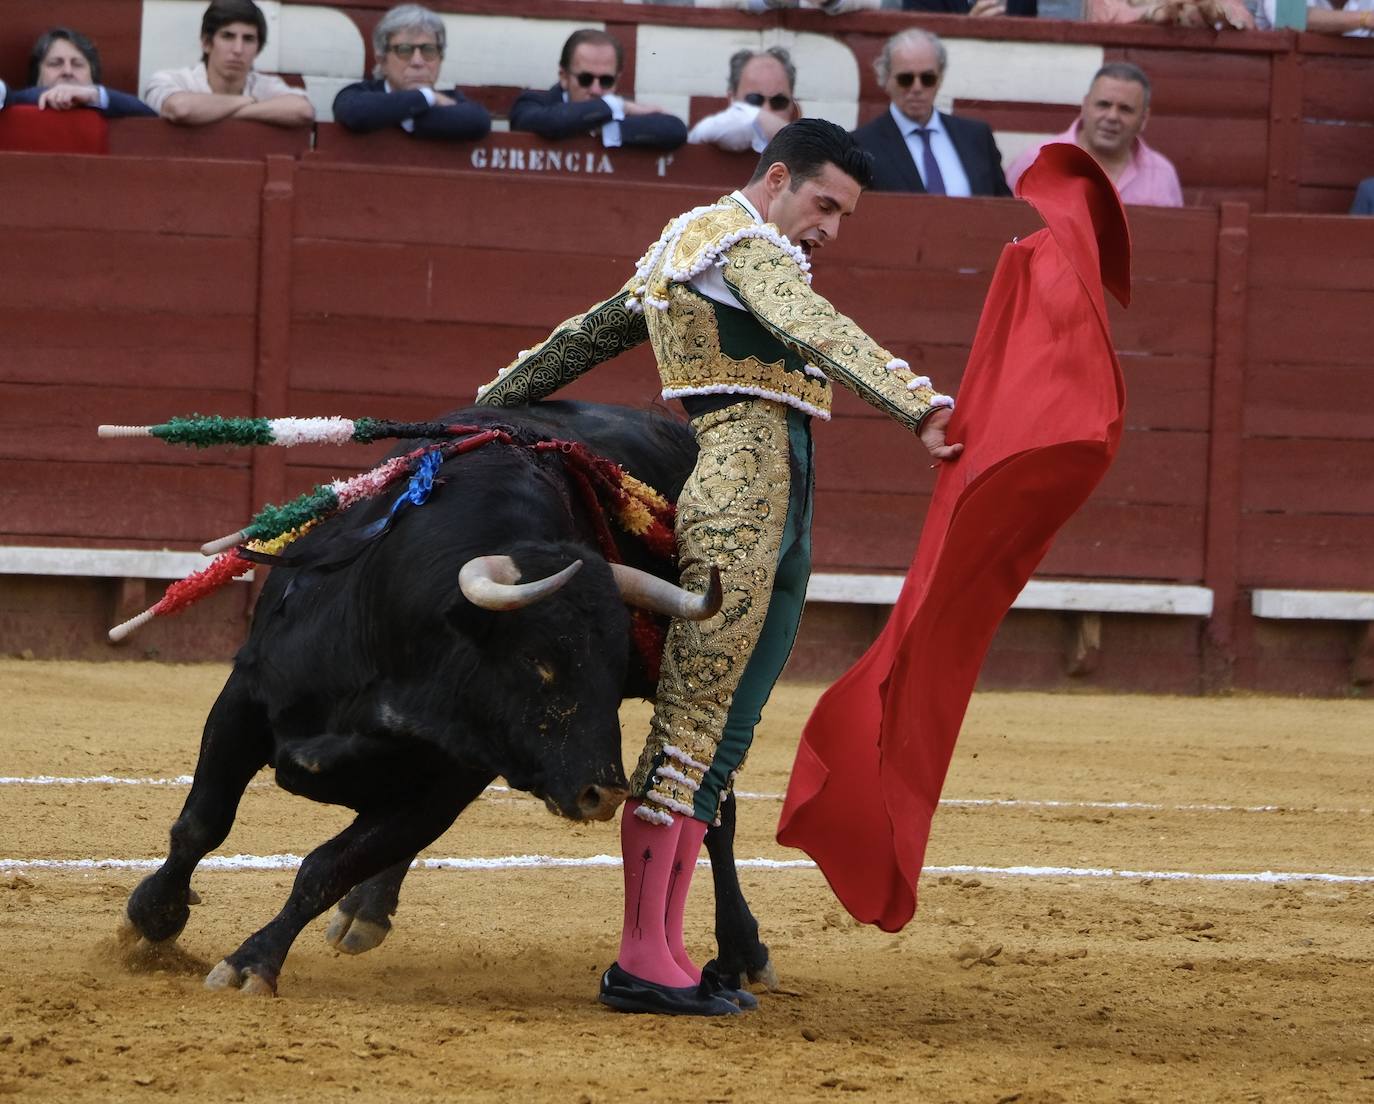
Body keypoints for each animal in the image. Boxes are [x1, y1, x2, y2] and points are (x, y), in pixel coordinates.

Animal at [120, 401, 774, 995]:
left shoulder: (448, 781)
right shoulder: (246, 698)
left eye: (616, 671)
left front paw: (251, 962)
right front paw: (153, 917)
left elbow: (327, 866)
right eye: (537, 660)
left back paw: (742, 951)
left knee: (713, 812)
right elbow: (202, 823)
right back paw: (366, 913)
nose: (603, 792)